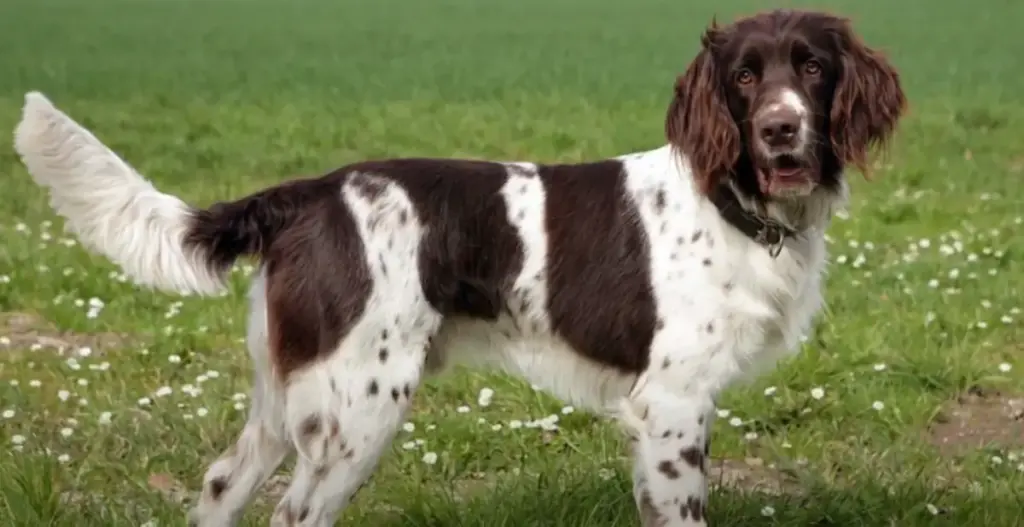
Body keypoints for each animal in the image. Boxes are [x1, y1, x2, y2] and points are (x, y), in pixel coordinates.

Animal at [14, 8, 905, 527]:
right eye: (746, 76)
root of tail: (309, 194)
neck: (731, 201)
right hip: (358, 405)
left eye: (813, 67)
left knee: (222, 484)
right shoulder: (673, 405)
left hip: (283, 393)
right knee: (293, 513)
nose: (782, 131)